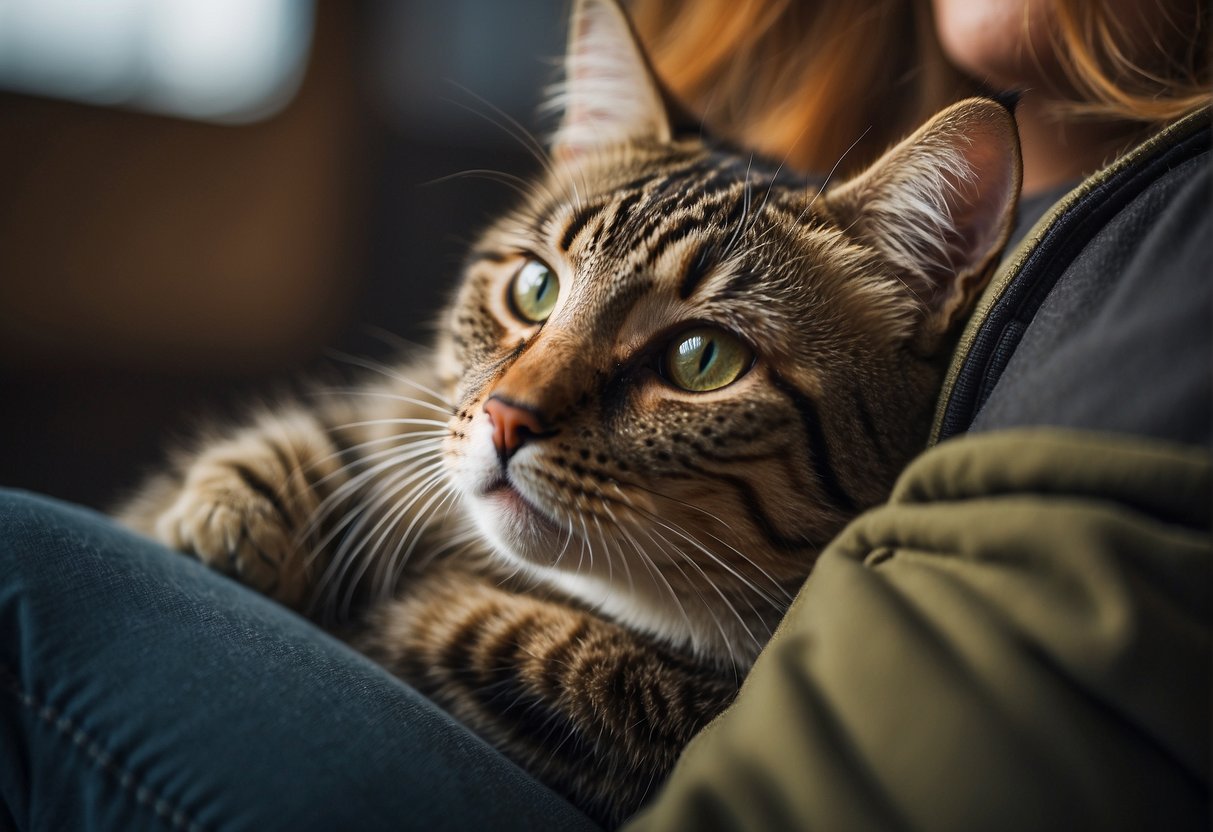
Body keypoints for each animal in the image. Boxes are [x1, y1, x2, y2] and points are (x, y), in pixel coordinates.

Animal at [115, 0, 1023, 824]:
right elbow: (334, 441)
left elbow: (556, 668)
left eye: (702, 360)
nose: (505, 419)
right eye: (535, 288)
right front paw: (234, 515)